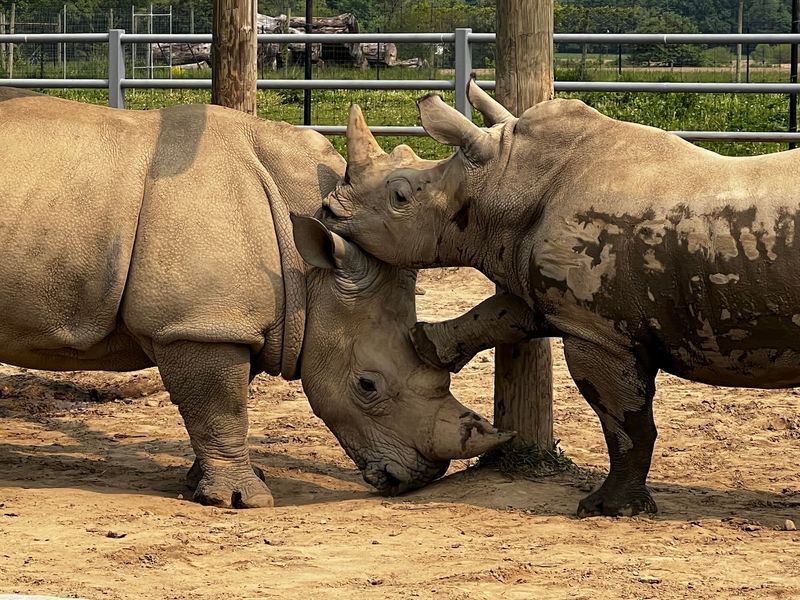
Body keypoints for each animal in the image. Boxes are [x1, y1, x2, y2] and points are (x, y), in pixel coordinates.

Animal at [0, 88, 511, 508]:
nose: (423, 477)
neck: (313, 275)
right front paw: (242, 500)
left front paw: (205, 484)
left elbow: (221, 403)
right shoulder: (200, 324)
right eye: (367, 385)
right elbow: (221, 405)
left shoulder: (224, 319)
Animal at [321, 80, 800, 517]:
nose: (327, 210)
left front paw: (607, 509)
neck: (504, 181)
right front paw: (425, 344)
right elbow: (506, 312)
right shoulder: (547, 287)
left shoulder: (597, 331)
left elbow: (626, 424)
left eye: (399, 196)